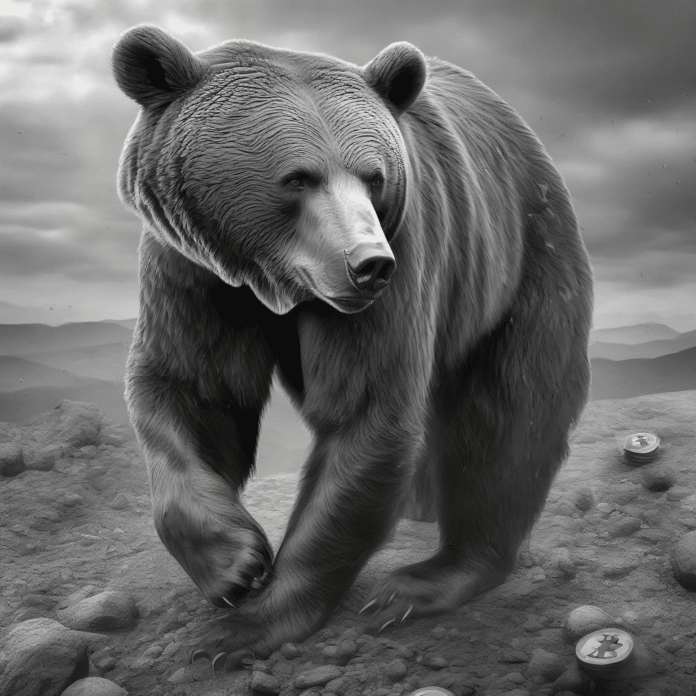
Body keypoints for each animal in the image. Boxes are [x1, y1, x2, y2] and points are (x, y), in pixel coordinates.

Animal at [112, 25, 593, 668]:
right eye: (298, 177)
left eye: (374, 176)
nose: (369, 264)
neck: (272, 281)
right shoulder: (193, 271)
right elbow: (194, 390)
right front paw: (234, 563)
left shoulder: (407, 249)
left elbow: (365, 414)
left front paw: (248, 624)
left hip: (520, 260)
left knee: (508, 419)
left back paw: (427, 578)